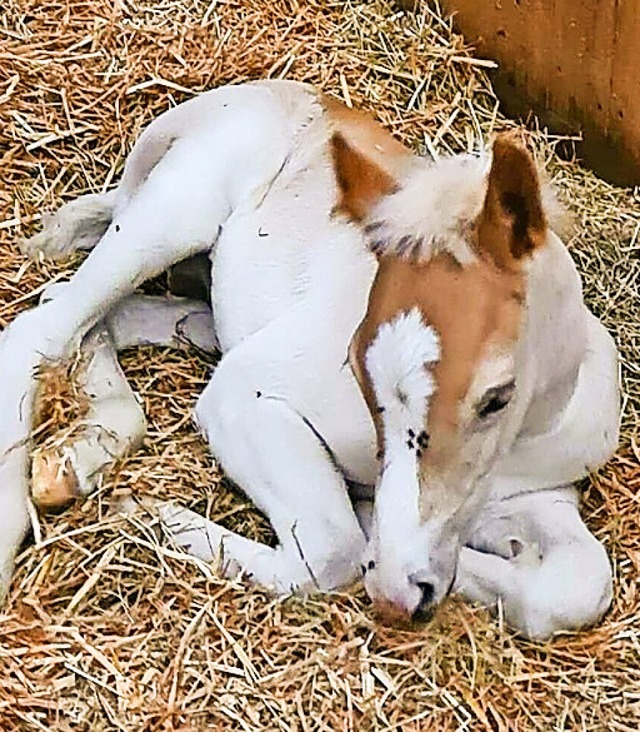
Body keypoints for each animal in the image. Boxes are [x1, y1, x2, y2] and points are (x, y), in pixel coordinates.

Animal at [1, 81, 620, 640]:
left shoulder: (537, 495)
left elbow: (576, 586)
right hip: (172, 215)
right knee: (46, 325)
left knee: (102, 318)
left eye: (497, 397)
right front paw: (144, 512)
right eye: (356, 365)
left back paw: (74, 462)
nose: (398, 591)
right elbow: (333, 551)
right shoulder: (247, 395)